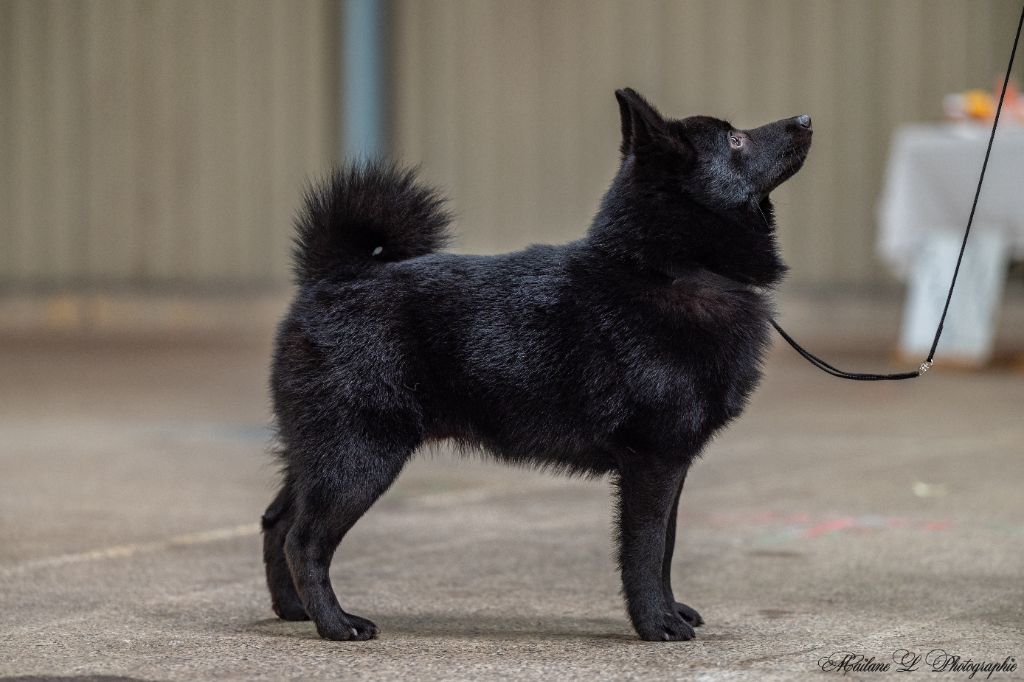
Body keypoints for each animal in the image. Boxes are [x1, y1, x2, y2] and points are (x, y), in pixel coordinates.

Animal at [262, 87, 806, 638]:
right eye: (735, 140)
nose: (805, 119)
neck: (672, 269)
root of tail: (335, 274)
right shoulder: (653, 462)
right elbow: (647, 550)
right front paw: (657, 623)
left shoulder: (671, 464)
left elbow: (668, 548)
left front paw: (672, 610)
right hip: (359, 457)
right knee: (304, 541)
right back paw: (336, 623)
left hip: (320, 454)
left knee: (276, 523)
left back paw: (294, 609)